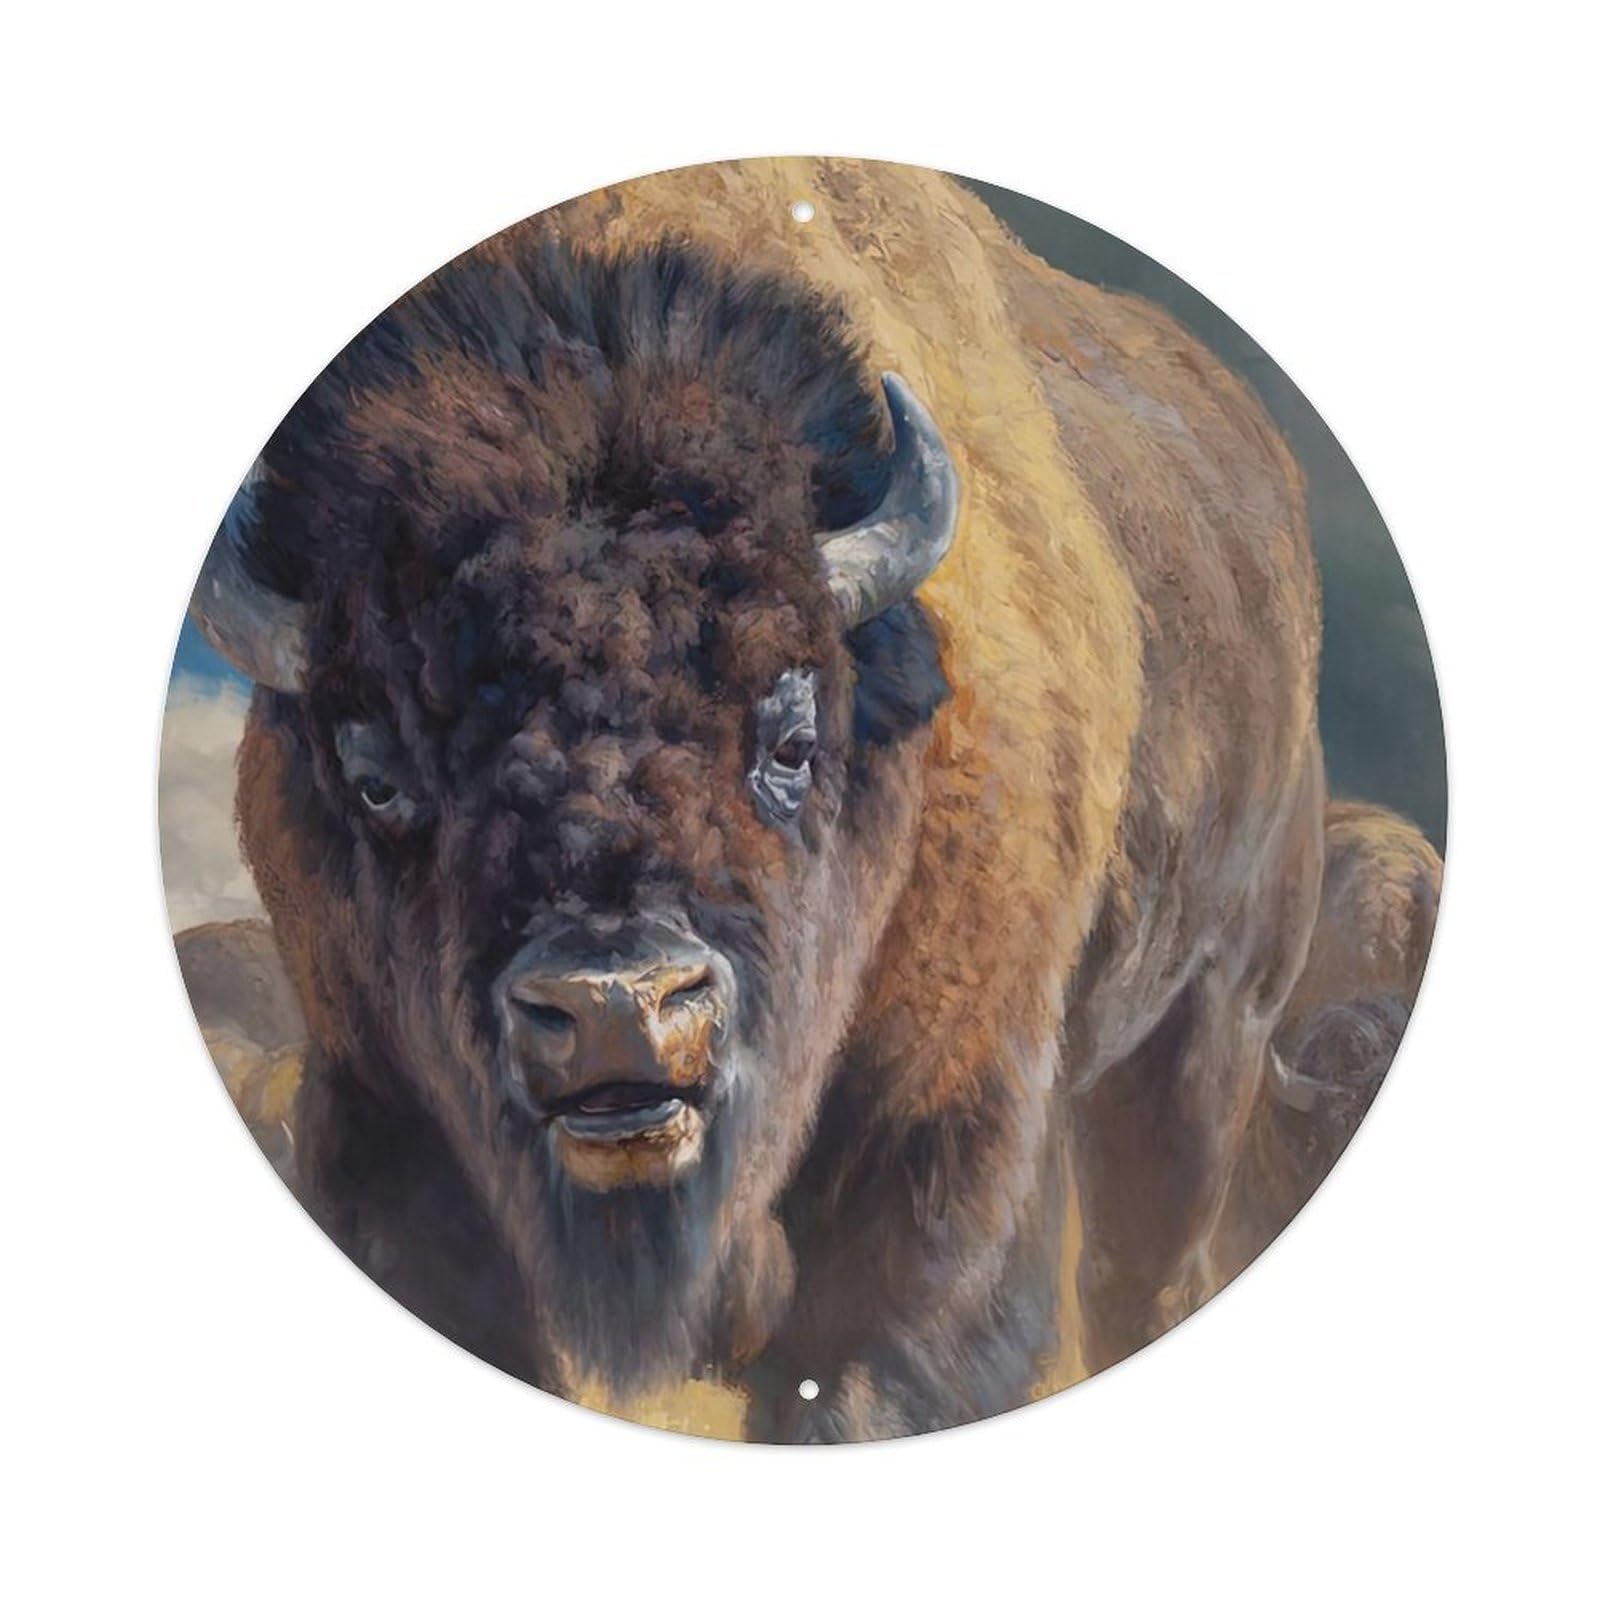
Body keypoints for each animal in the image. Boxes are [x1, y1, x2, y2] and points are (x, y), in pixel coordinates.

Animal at [187, 158, 1439, 1441]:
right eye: (375, 774)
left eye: (790, 740)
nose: (616, 1007)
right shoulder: (380, 1113)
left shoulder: (943, 1156)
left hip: (1215, 1026)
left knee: (1149, 1265)